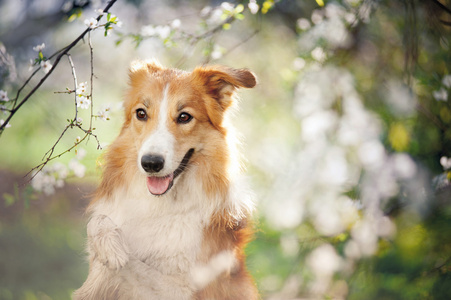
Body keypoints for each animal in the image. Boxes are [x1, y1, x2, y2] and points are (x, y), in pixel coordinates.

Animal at [73, 59, 258, 298]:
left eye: (184, 117)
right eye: (141, 113)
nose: (151, 163)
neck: (160, 204)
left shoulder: (186, 289)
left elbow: (131, 264)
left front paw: (114, 254)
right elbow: (97, 222)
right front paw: (109, 247)